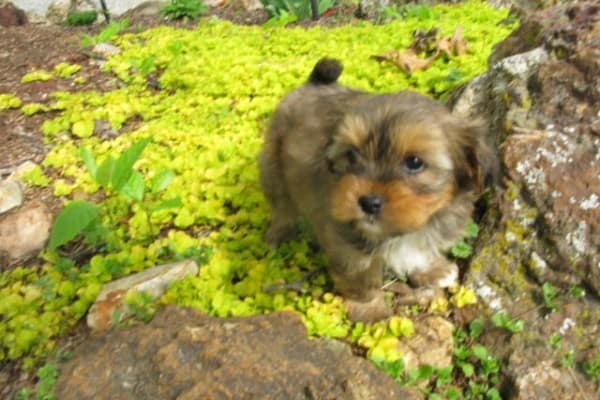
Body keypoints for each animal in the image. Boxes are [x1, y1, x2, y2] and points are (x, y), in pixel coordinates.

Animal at [260, 58, 494, 322]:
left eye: (414, 162)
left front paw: (434, 270)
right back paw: (279, 235)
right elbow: (362, 278)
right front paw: (370, 310)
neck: (400, 232)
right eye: (352, 155)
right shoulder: (347, 244)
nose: (368, 202)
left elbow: (420, 252)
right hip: (273, 166)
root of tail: (315, 82)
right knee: (281, 206)